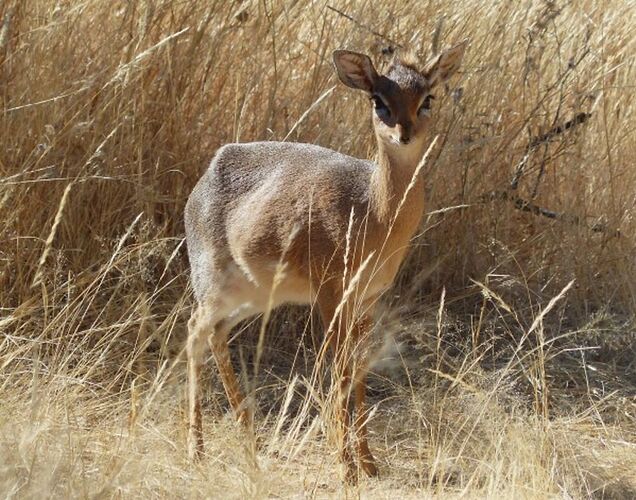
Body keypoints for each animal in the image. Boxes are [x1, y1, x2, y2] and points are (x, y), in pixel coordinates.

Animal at [184, 42, 468, 480]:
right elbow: (339, 368)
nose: (403, 134)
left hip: (252, 297)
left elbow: (360, 371)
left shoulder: (368, 299)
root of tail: (202, 181)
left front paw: (368, 462)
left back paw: (250, 439)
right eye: (378, 99)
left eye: (427, 98)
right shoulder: (331, 293)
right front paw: (345, 464)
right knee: (193, 332)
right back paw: (196, 450)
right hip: (213, 285)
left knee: (215, 334)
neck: (374, 213)